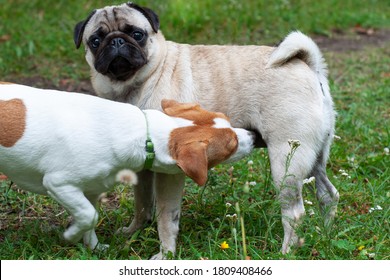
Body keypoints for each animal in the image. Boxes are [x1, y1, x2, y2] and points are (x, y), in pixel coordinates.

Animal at [0, 83, 253, 252]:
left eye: (225, 118)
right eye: (232, 145)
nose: (253, 135)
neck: (144, 133)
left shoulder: (91, 190)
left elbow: (90, 218)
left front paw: (94, 248)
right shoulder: (59, 183)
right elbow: (89, 215)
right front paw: (70, 236)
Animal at [74, 2, 338, 260]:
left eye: (137, 34)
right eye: (95, 40)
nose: (116, 41)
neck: (135, 84)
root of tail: (308, 66)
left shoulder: (170, 173)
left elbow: (166, 216)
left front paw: (165, 254)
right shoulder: (142, 167)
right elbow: (142, 203)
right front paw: (134, 232)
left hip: (287, 161)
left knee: (294, 212)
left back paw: (286, 252)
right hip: (313, 157)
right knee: (328, 194)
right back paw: (325, 234)